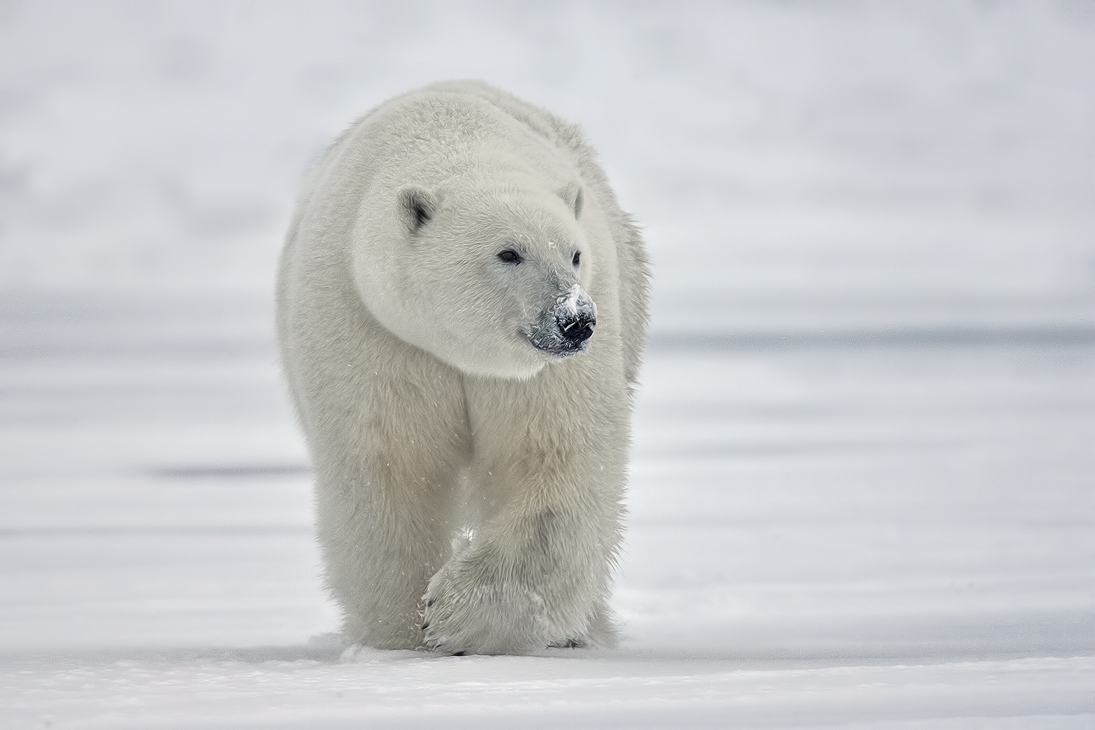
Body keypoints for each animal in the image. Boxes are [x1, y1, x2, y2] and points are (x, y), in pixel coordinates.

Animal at [275, 81, 648, 656]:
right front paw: (401, 631)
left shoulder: (543, 372)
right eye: (508, 253)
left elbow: (553, 458)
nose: (575, 320)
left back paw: (584, 634)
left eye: (575, 254)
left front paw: (453, 616)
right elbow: (389, 467)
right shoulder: (370, 327)